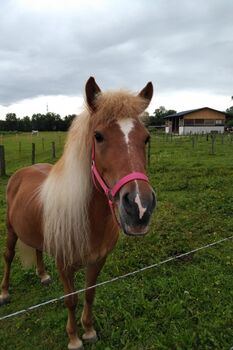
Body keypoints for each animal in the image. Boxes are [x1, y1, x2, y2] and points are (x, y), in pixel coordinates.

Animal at [0, 77, 157, 350]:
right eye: (98, 136)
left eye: (146, 138)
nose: (139, 207)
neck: (90, 219)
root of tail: (22, 172)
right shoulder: (65, 265)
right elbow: (71, 299)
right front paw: (74, 338)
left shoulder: (98, 261)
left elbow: (89, 294)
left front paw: (89, 330)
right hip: (11, 230)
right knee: (8, 256)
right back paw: (5, 292)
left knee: (38, 249)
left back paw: (43, 275)